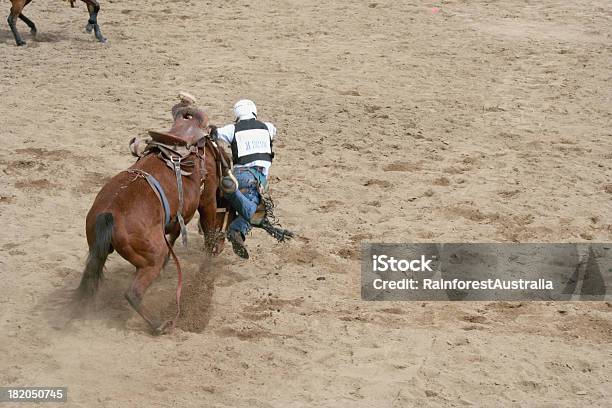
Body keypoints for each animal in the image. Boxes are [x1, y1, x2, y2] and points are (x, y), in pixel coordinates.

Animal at [77, 106, 224, 334]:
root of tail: (110, 214)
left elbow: (174, 234)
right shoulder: (207, 199)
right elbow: (208, 231)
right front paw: (208, 263)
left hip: (97, 250)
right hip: (150, 258)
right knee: (133, 293)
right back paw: (159, 324)